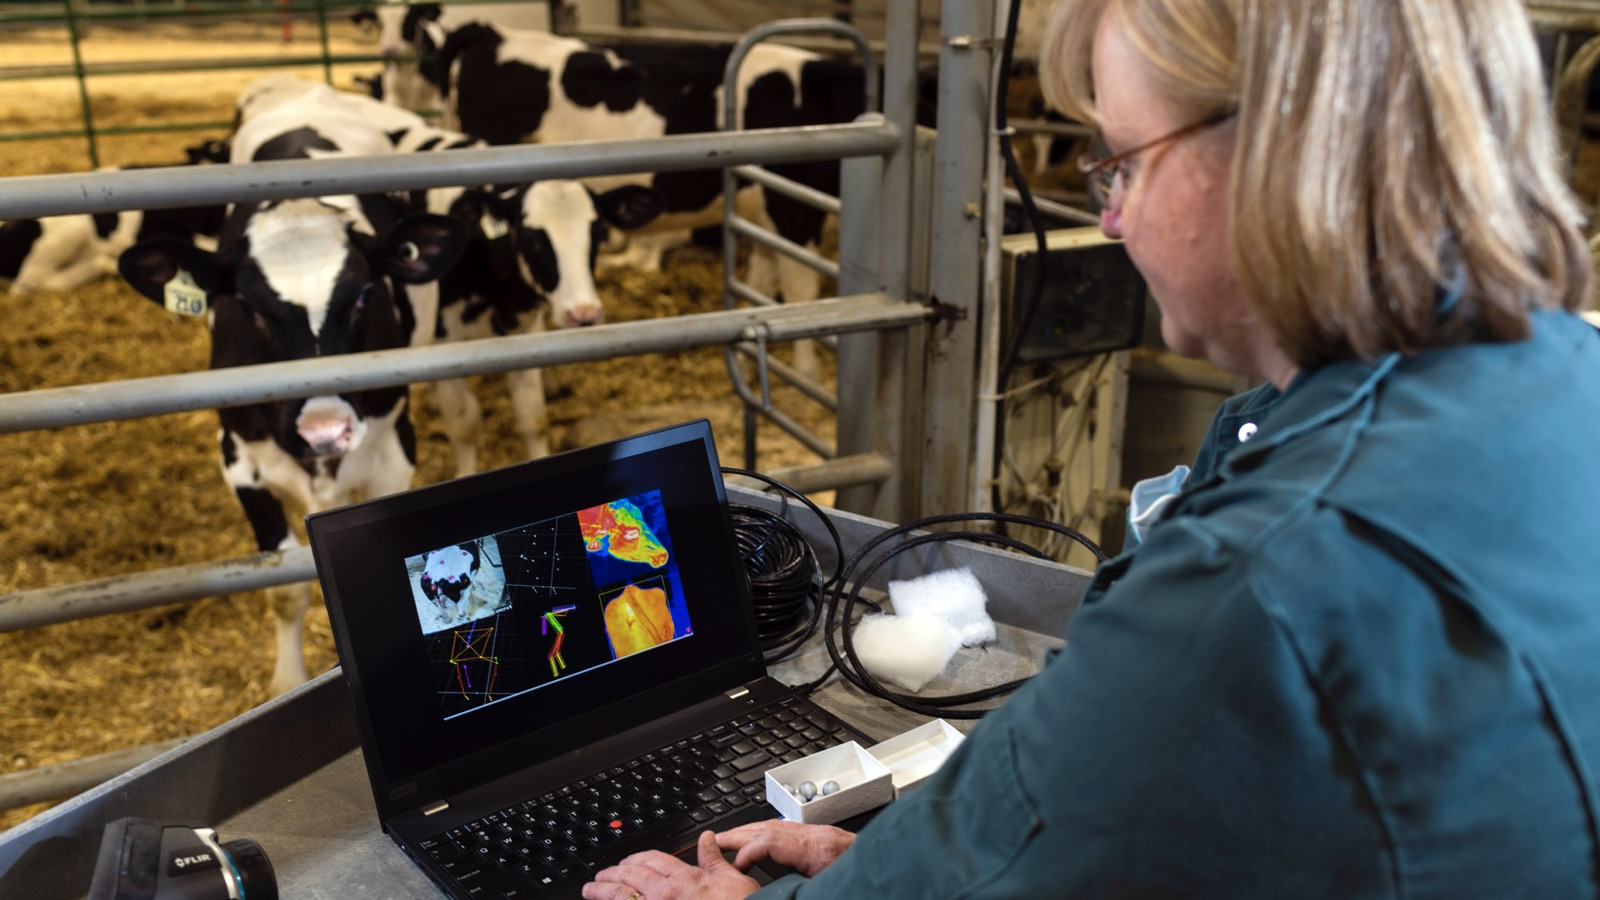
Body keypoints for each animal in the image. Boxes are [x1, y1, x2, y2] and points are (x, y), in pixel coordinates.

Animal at [116, 84, 467, 688]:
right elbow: (283, 587)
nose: (324, 429)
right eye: (249, 308)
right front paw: (287, 681)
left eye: (364, 295)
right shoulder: (238, 459)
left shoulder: (393, 453)